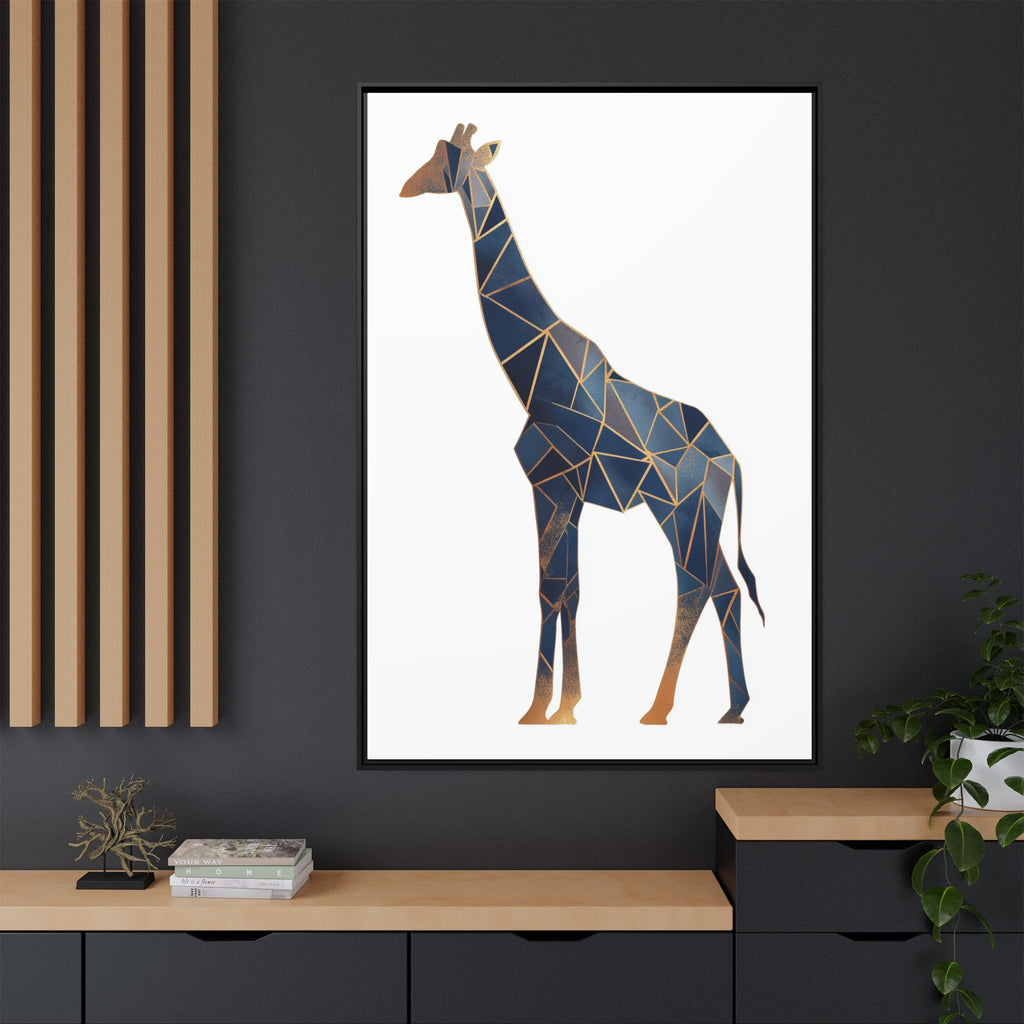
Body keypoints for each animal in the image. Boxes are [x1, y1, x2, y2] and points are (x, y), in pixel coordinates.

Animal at [400, 123, 765, 726]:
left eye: (446, 159)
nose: (407, 186)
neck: (534, 375)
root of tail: (730, 460)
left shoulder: (551, 484)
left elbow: (551, 589)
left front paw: (545, 708)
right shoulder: (565, 494)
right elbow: (567, 589)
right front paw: (561, 706)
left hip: (679, 509)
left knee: (694, 586)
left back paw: (659, 710)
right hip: (699, 515)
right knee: (725, 589)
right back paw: (733, 708)